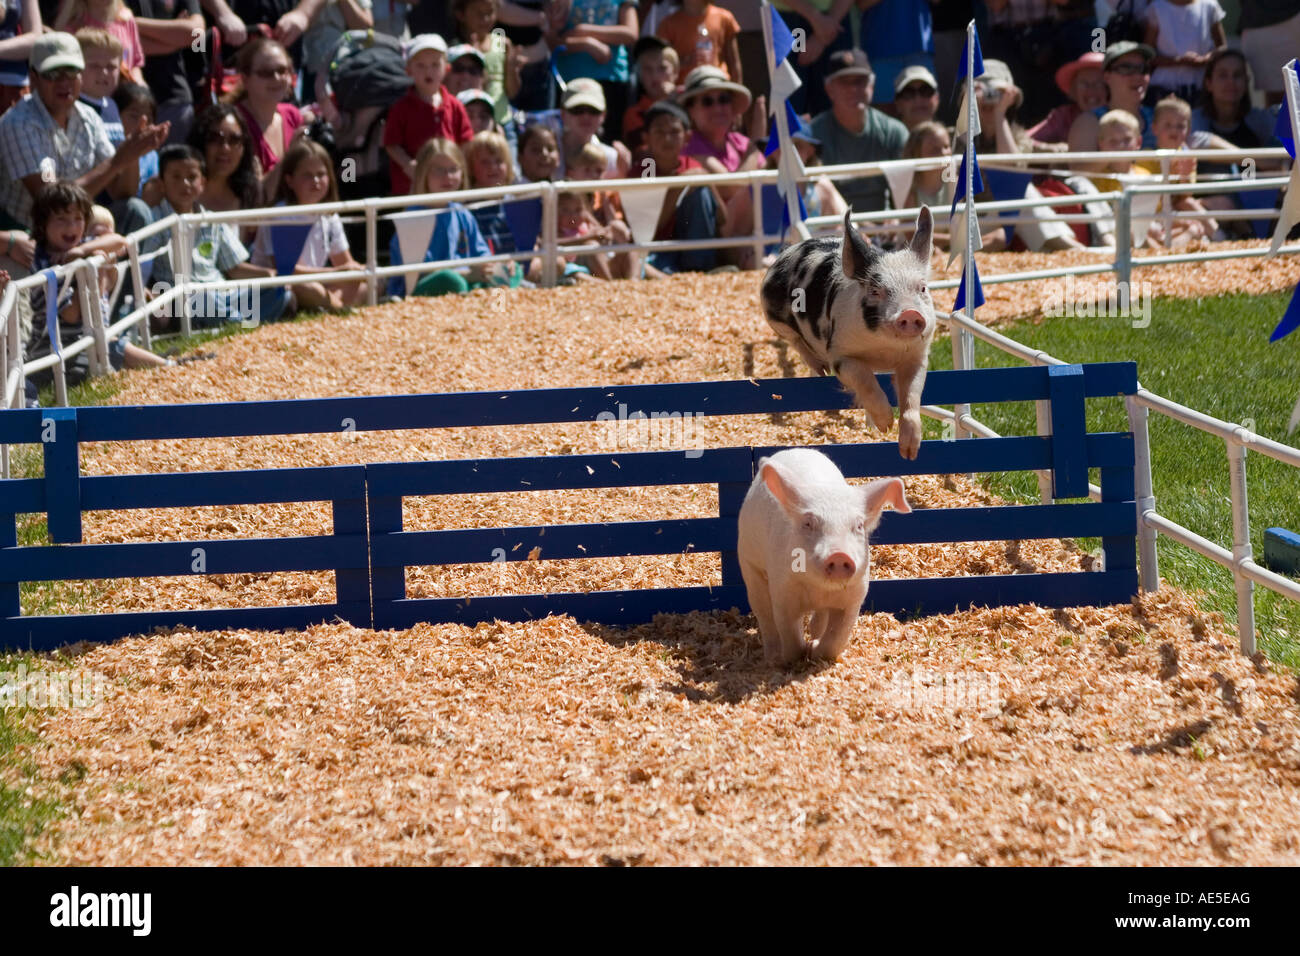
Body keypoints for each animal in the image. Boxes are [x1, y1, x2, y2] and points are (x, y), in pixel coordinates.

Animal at [738, 447, 909, 665]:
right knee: (763, 611)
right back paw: (772, 657)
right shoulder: (782, 590)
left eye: (859, 526)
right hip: (748, 560)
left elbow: (836, 636)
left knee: (818, 619)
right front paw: (794, 656)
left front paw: (814, 650)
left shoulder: (855, 595)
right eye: (808, 523)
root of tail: (797, 449)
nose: (839, 554)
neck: (819, 589)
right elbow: (789, 630)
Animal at [759, 206, 935, 460]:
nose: (910, 313)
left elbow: (911, 396)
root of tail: (788, 251)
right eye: (875, 291)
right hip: (773, 315)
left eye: (922, 288)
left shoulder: (917, 357)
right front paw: (886, 424)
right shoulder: (840, 354)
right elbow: (865, 380)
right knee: (797, 342)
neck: (883, 351)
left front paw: (909, 451)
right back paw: (821, 369)